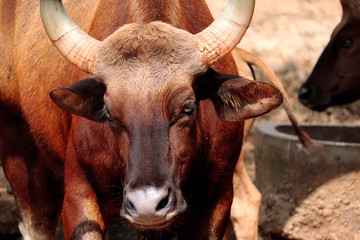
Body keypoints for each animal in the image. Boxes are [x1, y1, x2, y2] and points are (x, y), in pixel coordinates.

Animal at [0, 0, 282, 239]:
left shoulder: (219, 196)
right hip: (16, 140)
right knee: (37, 222)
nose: (147, 205)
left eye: (188, 107)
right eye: (108, 114)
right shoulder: (78, 195)